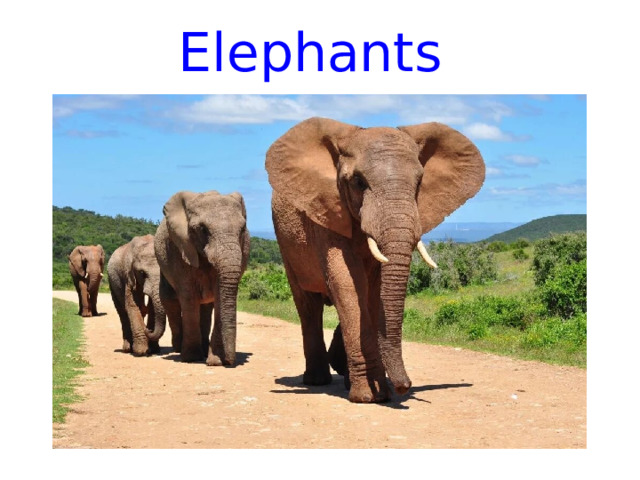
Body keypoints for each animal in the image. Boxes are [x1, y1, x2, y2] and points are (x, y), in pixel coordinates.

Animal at [154, 190, 250, 366]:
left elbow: (219, 296)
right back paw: (179, 349)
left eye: (242, 229)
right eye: (203, 229)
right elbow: (189, 296)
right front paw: (191, 358)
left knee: (206, 306)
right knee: (170, 300)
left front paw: (215, 361)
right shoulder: (179, 248)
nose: (230, 362)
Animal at [265, 117, 485, 403]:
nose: (405, 386)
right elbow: (348, 283)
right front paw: (371, 396)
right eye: (358, 182)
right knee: (308, 305)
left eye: (419, 183)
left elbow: (372, 291)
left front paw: (378, 390)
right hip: (286, 244)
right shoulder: (327, 210)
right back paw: (316, 380)